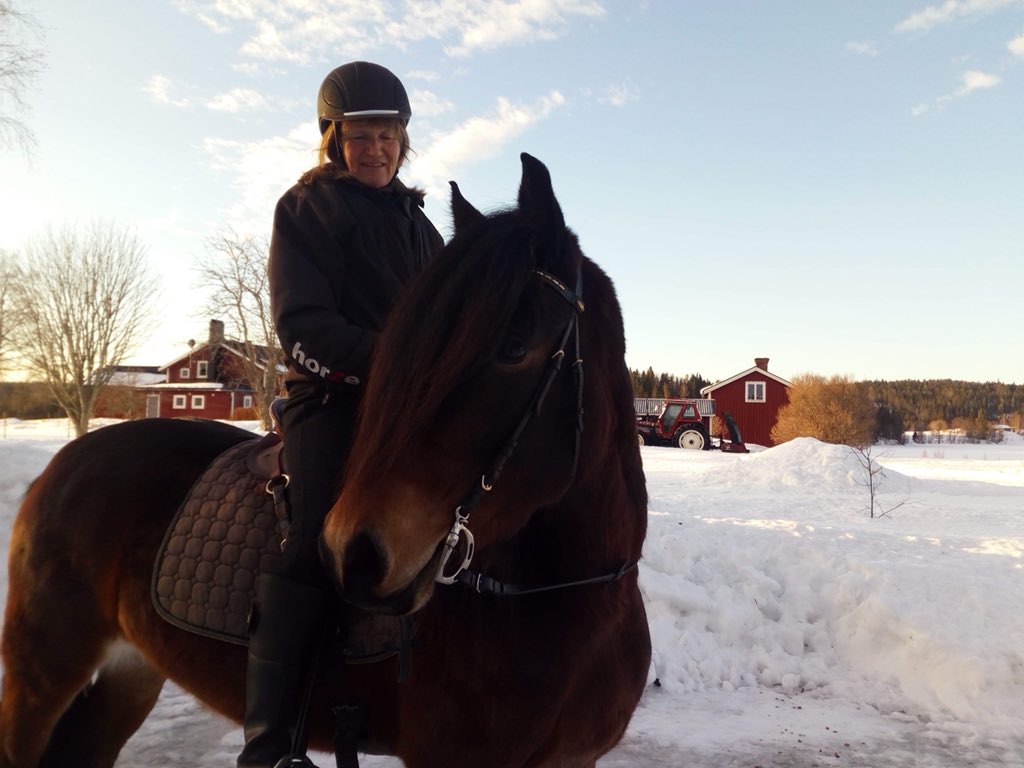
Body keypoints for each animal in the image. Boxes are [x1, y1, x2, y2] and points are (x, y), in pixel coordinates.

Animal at [0, 154, 652, 768]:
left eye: (515, 348)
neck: (569, 602)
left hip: (131, 671)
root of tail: (64, 464)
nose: (354, 552)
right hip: (41, 673)